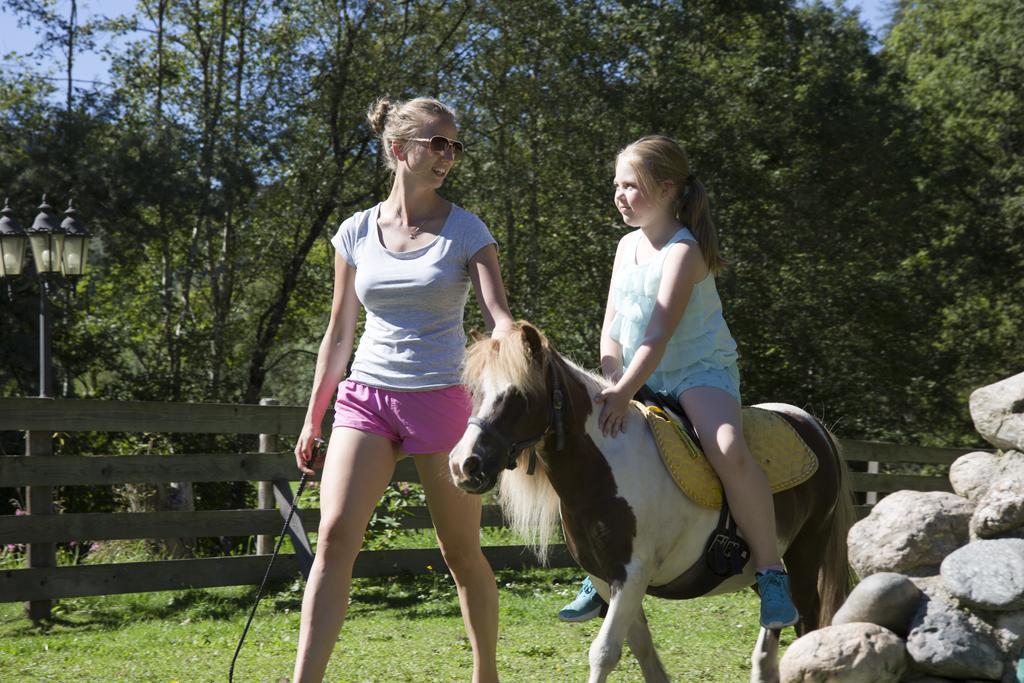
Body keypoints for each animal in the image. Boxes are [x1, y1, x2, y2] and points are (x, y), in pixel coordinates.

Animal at [448, 321, 856, 683]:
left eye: (517, 395)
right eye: (474, 392)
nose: (464, 465)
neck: (606, 468)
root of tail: (812, 425)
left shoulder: (631, 574)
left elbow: (604, 652)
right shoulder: (606, 579)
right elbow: (640, 647)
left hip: (806, 553)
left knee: (805, 620)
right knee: (775, 624)